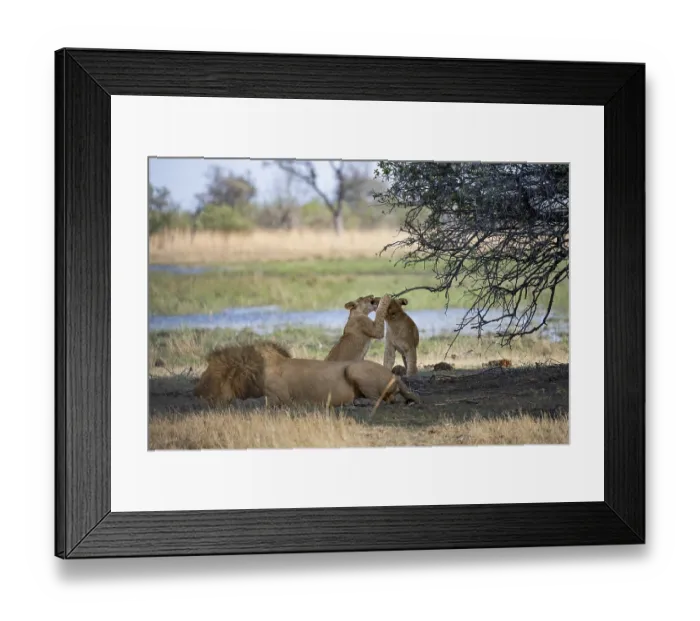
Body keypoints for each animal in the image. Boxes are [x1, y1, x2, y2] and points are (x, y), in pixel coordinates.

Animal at [194, 340, 420, 408]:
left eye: (208, 377)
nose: (197, 393)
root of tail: (396, 376)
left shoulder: (281, 397)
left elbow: (255, 401)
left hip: (354, 368)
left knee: (386, 399)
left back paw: (357, 402)